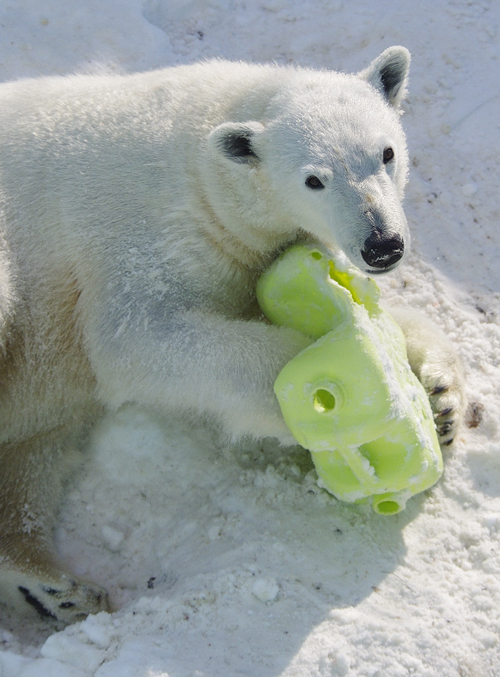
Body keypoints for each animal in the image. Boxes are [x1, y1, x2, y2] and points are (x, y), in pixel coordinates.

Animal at [0, 48, 464, 624]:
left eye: (386, 152)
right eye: (313, 179)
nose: (383, 245)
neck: (201, 161)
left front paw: (441, 397)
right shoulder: (145, 233)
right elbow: (138, 335)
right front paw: (328, 391)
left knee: (32, 454)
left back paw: (54, 589)